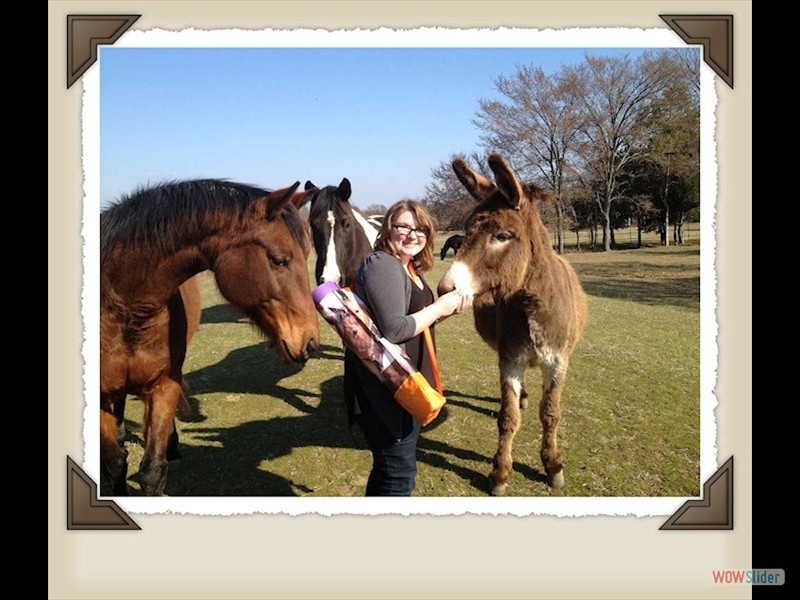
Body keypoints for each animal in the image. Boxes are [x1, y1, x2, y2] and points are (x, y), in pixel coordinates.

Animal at [101, 179, 320, 496]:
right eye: (279, 260)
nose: (310, 341)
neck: (126, 306)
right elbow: (115, 465)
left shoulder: (165, 384)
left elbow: (152, 472)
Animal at [438, 156, 588, 496]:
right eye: (466, 231)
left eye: (502, 236)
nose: (444, 289)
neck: (530, 301)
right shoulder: (509, 360)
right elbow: (508, 418)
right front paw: (500, 474)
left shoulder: (558, 362)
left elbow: (550, 413)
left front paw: (553, 466)